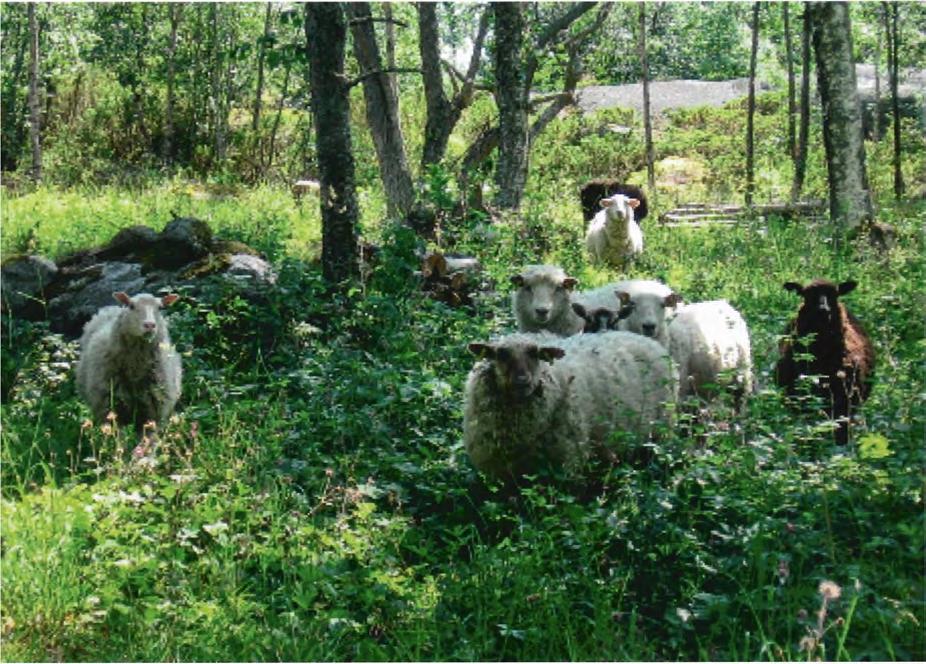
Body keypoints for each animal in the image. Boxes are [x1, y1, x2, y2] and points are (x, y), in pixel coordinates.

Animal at [78, 290, 185, 430]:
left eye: (160, 308)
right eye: (131, 306)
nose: (149, 325)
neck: (135, 368)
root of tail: (111, 308)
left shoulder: (155, 407)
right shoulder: (109, 405)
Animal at [468, 330, 676, 478]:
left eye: (535, 354)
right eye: (501, 354)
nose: (522, 381)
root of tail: (647, 340)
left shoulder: (567, 462)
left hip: (661, 432)